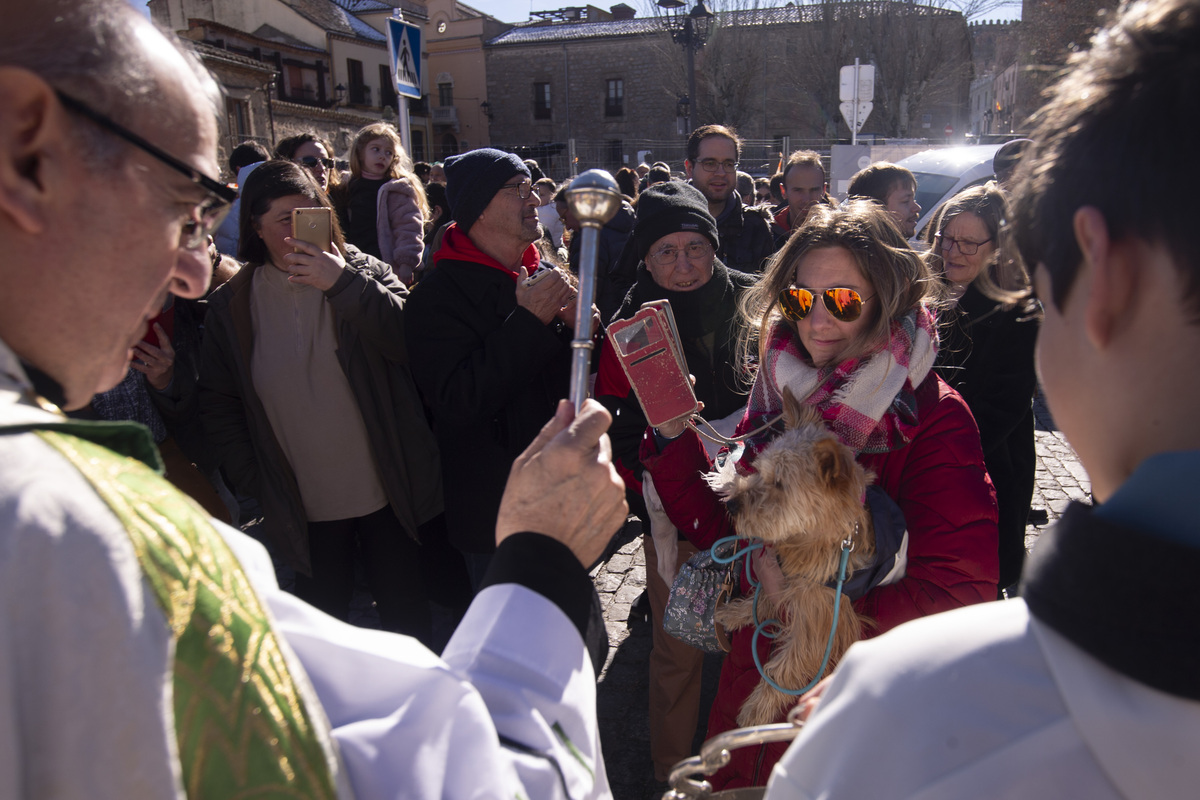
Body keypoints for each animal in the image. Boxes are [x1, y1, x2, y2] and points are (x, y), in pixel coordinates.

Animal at [705, 388, 878, 724]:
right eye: (760, 470)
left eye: (780, 484)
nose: (732, 505)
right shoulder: (786, 576)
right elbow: (764, 598)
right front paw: (737, 613)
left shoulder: (822, 621)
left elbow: (785, 668)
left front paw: (756, 710)